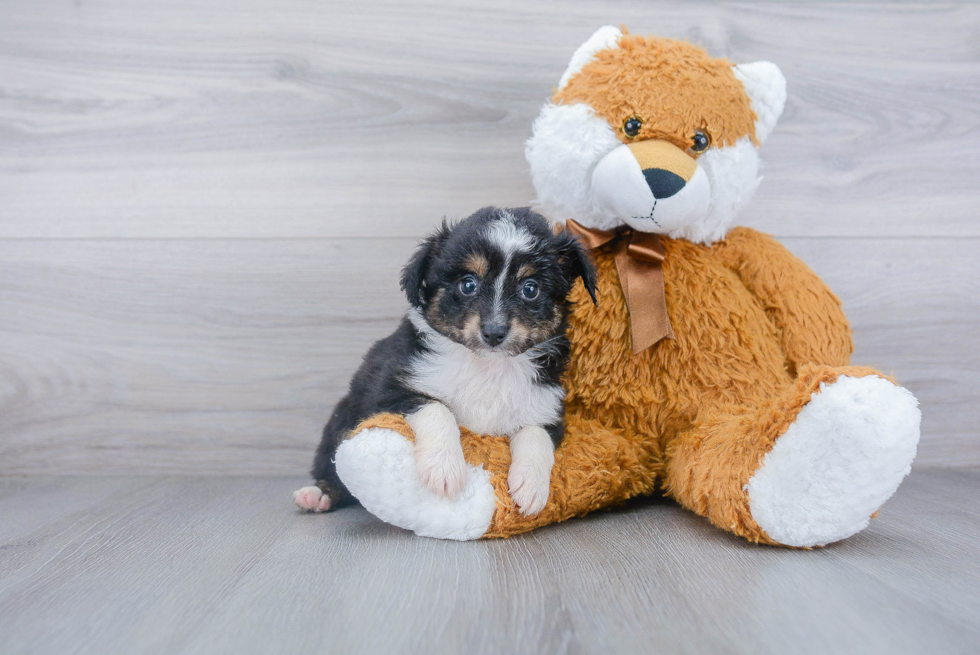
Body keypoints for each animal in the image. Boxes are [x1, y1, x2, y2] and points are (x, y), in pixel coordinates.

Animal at [290, 208, 596, 516]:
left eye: (530, 289)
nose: (493, 332)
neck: (487, 365)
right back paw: (317, 494)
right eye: (468, 284)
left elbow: (536, 436)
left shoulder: (546, 406)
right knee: (332, 468)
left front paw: (531, 487)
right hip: (341, 421)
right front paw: (444, 469)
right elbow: (438, 410)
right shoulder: (388, 387)